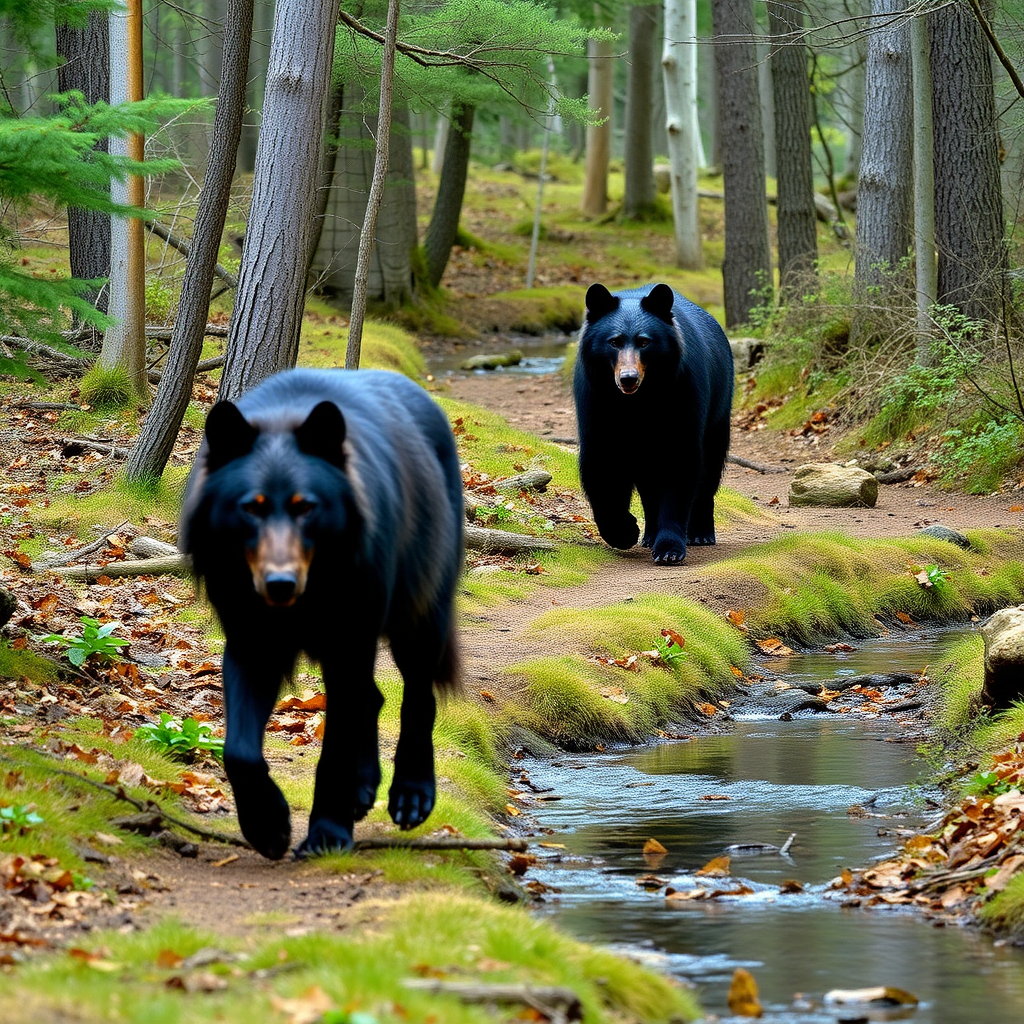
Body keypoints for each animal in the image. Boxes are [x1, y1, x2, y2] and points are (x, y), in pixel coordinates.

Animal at [178, 368, 462, 856]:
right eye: (250, 508)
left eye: (306, 507)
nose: (280, 585)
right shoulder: (250, 645)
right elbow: (239, 751)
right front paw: (268, 826)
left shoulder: (348, 645)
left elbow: (334, 755)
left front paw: (327, 835)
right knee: (375, 698)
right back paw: (363, 790)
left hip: (418, 621)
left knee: (417, 698)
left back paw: (411, 794)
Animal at [573, 284, 733, 565]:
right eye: (614, 342)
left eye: (644, 342)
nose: (628, 378)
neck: (637, 402)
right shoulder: (596, 403)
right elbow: (601, 466)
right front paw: (624, 530)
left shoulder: (683, 395)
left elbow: (681, 466)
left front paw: (669, 548)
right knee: (648, 487)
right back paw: (649, 534)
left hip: (719, 410)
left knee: (710, 469)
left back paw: (701, 533)